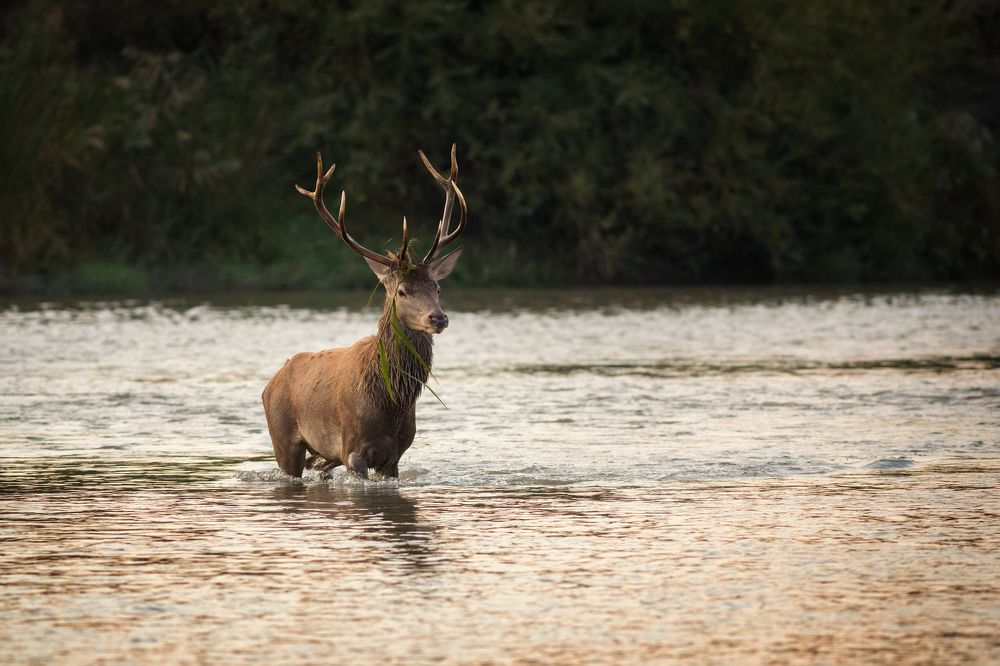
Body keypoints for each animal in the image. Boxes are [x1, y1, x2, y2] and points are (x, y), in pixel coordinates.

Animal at [262, 145, 467, 480]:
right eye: (401, 291)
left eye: (437, 287)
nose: (438, 317)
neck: (390, 404)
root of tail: (272, 381)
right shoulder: (352, 449)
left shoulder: (395, 456)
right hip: (283, 438)